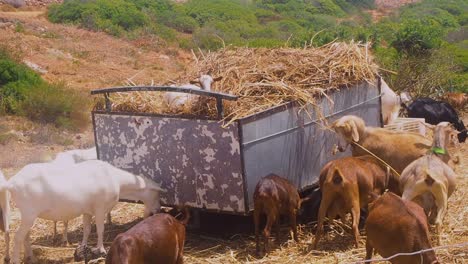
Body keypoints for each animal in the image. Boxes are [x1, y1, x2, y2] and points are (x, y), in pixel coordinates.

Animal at [4, 159, 163, 264]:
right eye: (157, 194)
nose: (158, 210)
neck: (117, 180)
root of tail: (11, 183)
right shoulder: (100, 208)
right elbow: (100, 229)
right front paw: (101, 249)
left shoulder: (87, 210)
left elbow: (87, 230)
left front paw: (83, 247)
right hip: (29, 213)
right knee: (18, 237)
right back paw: (16, 260)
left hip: (27, 215)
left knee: (25, 236)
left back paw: (31, 258)